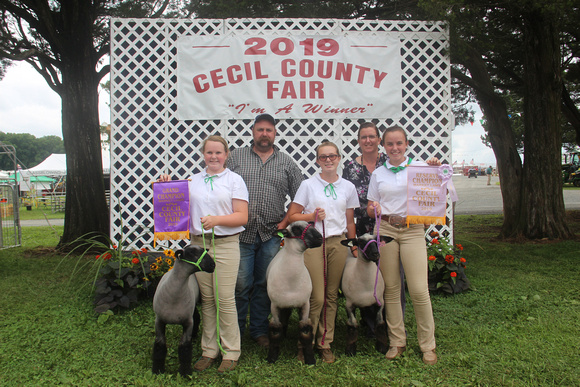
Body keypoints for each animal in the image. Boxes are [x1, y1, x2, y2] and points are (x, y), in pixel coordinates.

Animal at [152, 247, 215, 378]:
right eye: (192, 253)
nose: (213, 265)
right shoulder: (159, 321)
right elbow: (160, 345)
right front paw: (158, 370)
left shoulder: (187, 323)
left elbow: (184, 348)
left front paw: (185, 373)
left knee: (196, 317)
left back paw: (194, 335)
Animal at [266, 223, 324, 366]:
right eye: (297, 229)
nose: (320, 238)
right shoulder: (274, 306)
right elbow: (275, 331)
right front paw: (272, 357)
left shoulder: (305, 304)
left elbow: (305, 332)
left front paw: (310, 359)